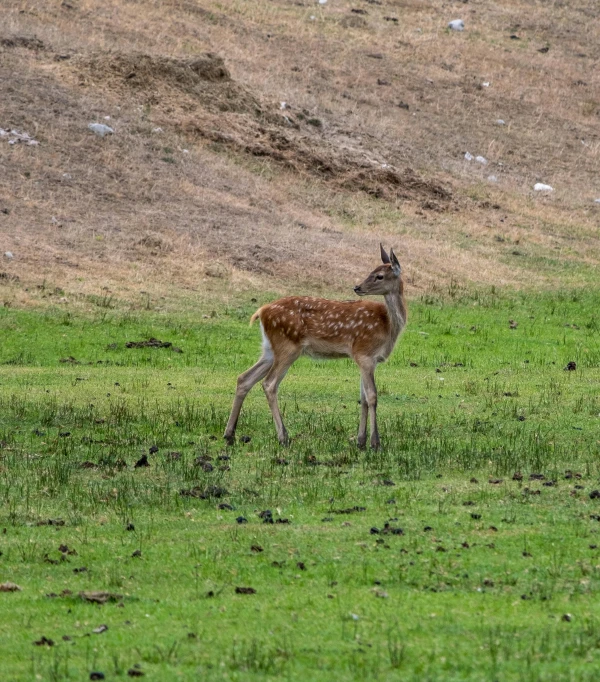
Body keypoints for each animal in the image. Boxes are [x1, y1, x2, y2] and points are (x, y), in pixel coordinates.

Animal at [225, 243, 408, 446]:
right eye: (373, 272)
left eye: (379, 275)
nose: (357, 287)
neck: (388, 326)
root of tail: (261, 311)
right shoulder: (364, 353)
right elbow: (372, 396)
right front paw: (375, 443)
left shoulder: (365, 358)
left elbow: (363, 398)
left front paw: (360, 441)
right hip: (288, 346)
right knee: (269, 384)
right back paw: (283, 437)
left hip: (269, 349)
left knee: (244, 378)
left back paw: (230, 434)